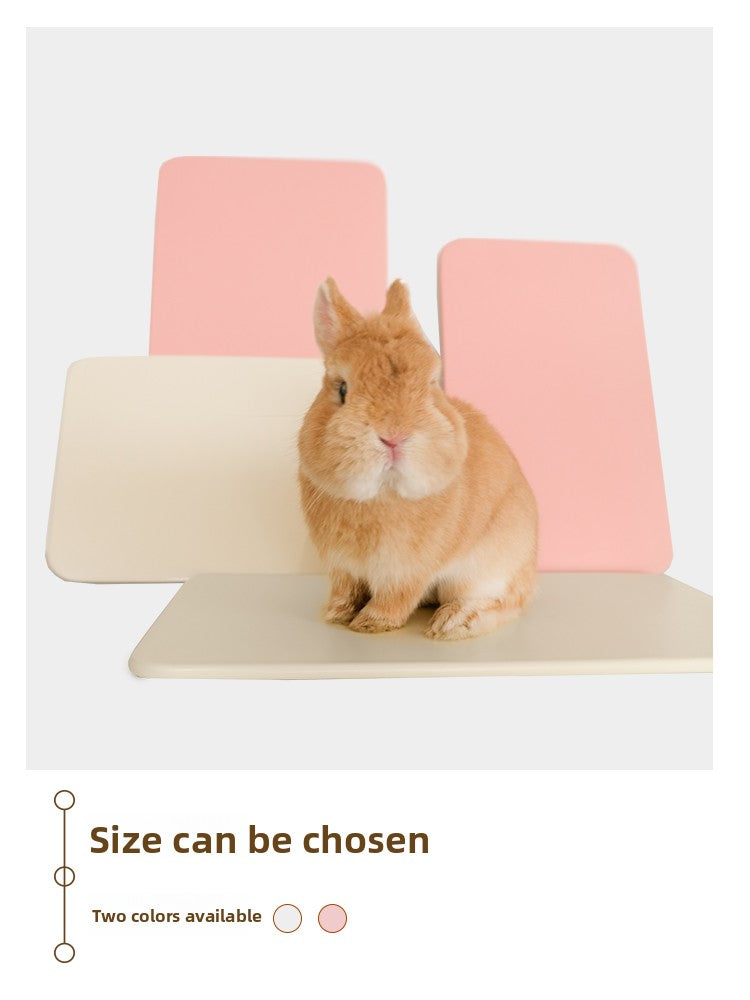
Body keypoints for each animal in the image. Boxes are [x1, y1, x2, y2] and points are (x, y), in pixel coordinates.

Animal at [298, 277, 538, 640]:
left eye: (431, 385)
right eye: (341, 389)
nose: (394, 435)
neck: (383, 493)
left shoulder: (406, 571)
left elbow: (395, 598)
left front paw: (371, 622)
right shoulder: (341, 567)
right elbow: (345, 590)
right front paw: (335, 614)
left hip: (492, 568)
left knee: (507, 602)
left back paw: (452, 623)